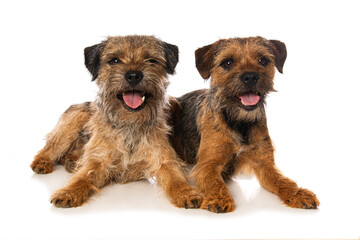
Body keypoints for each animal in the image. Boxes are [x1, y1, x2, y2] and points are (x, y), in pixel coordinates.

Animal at [31, 35, 202, 208]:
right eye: (114, 60)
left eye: (151, 60)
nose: (133, 75)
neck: (130, 123)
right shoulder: (98, 160)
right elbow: (83, 176)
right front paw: (68, 192)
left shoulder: (163, 159)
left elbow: (175, 177)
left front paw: (186, 192)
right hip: (75, 118)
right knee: (50, 147)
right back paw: (42, 162)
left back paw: (71, 161)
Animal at [170, 35, 320, 212]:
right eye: (227, 63)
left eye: (262, 60)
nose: (250, 77)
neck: (239, 122)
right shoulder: (207, 165)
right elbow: (215, 183)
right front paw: (219, 198)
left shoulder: (265, 164)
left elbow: (284, 181)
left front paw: (299, 194)